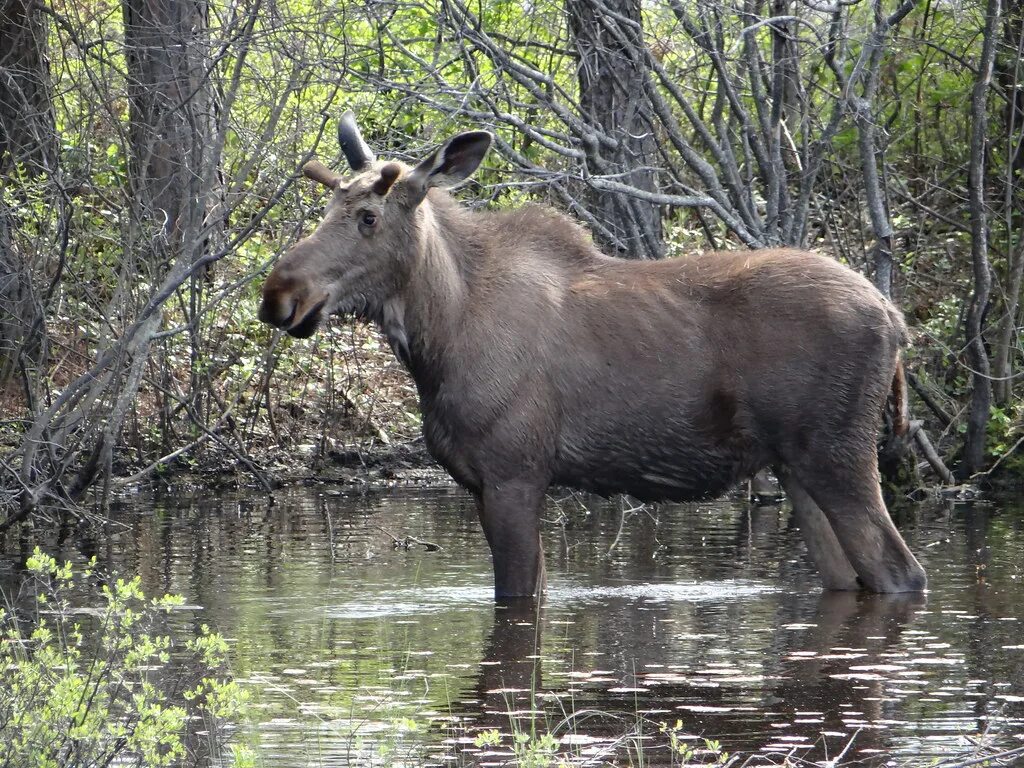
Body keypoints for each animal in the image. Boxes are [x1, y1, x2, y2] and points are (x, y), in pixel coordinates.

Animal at [258, 112, 929, 602]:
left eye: (369, 217)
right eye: (328, 209)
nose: (278, 294)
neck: (439, 339)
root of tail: (895, 321)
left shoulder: (515, 473)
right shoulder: (480, 482)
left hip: (838, 454)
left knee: (903, 573)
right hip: (795, 467)